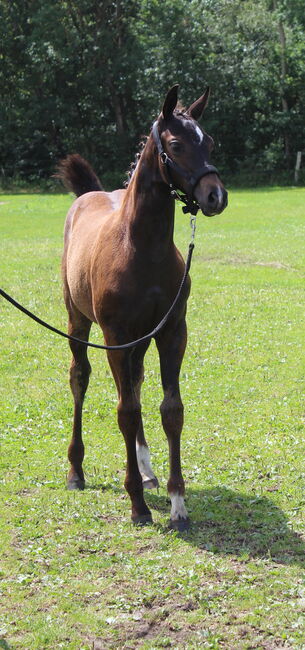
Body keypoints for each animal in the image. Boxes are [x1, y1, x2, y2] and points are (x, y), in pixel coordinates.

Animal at [58, 85, 226, 528]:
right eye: (175, 144)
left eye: (210, 142)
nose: (215, 195)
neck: (141, 247)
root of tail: (88, 195)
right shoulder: (116, 335)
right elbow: (126, 411)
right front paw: (137, 504)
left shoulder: (172, 330)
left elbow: (171, 409)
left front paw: (178, 502)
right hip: (79, 322)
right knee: (80, 378)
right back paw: (76, 471)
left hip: (140, 340)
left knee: (133, 382)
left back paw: (147, 470)